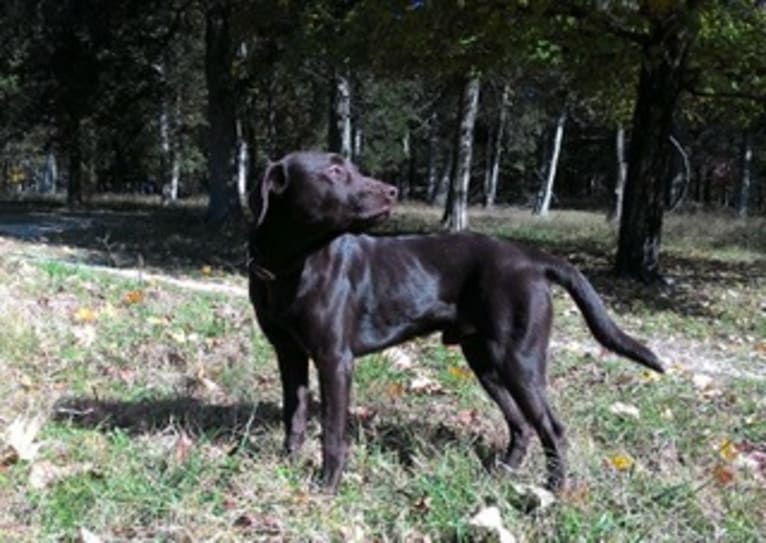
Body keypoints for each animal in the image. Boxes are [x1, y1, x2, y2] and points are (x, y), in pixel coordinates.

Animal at [249, 151, 664, 496]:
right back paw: (502, 474)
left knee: (553, 430)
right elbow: (294, 414)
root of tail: (532, 258)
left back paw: (553, 493)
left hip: (519, 360)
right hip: (485, 360)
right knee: (521, 425)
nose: (392, 191)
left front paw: (326, 487)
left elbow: (333, 433)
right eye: (334, 171)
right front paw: (287, 466)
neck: (289, 267)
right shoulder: (288, 353)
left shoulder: (334, 359)